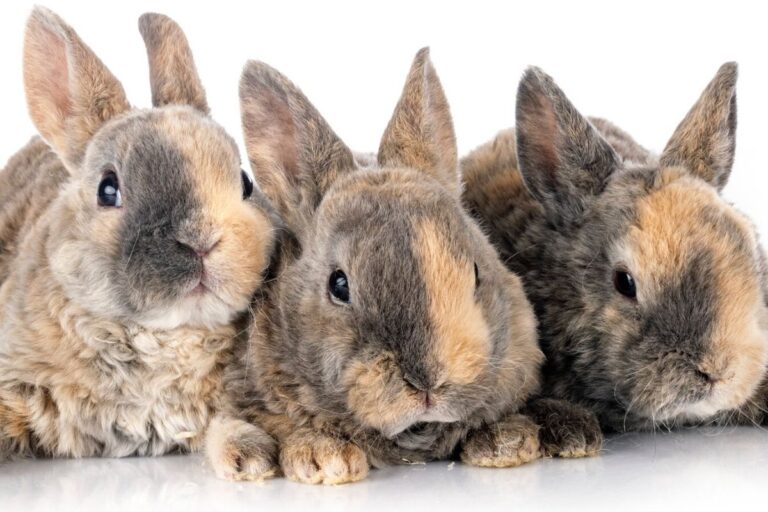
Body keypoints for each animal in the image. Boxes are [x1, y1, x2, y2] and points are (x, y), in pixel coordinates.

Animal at [0, 8, 277, 459]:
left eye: (245, 181)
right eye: (107, 189)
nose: (201, 241)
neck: (165, 335)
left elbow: (224, 425)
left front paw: (250, 456)